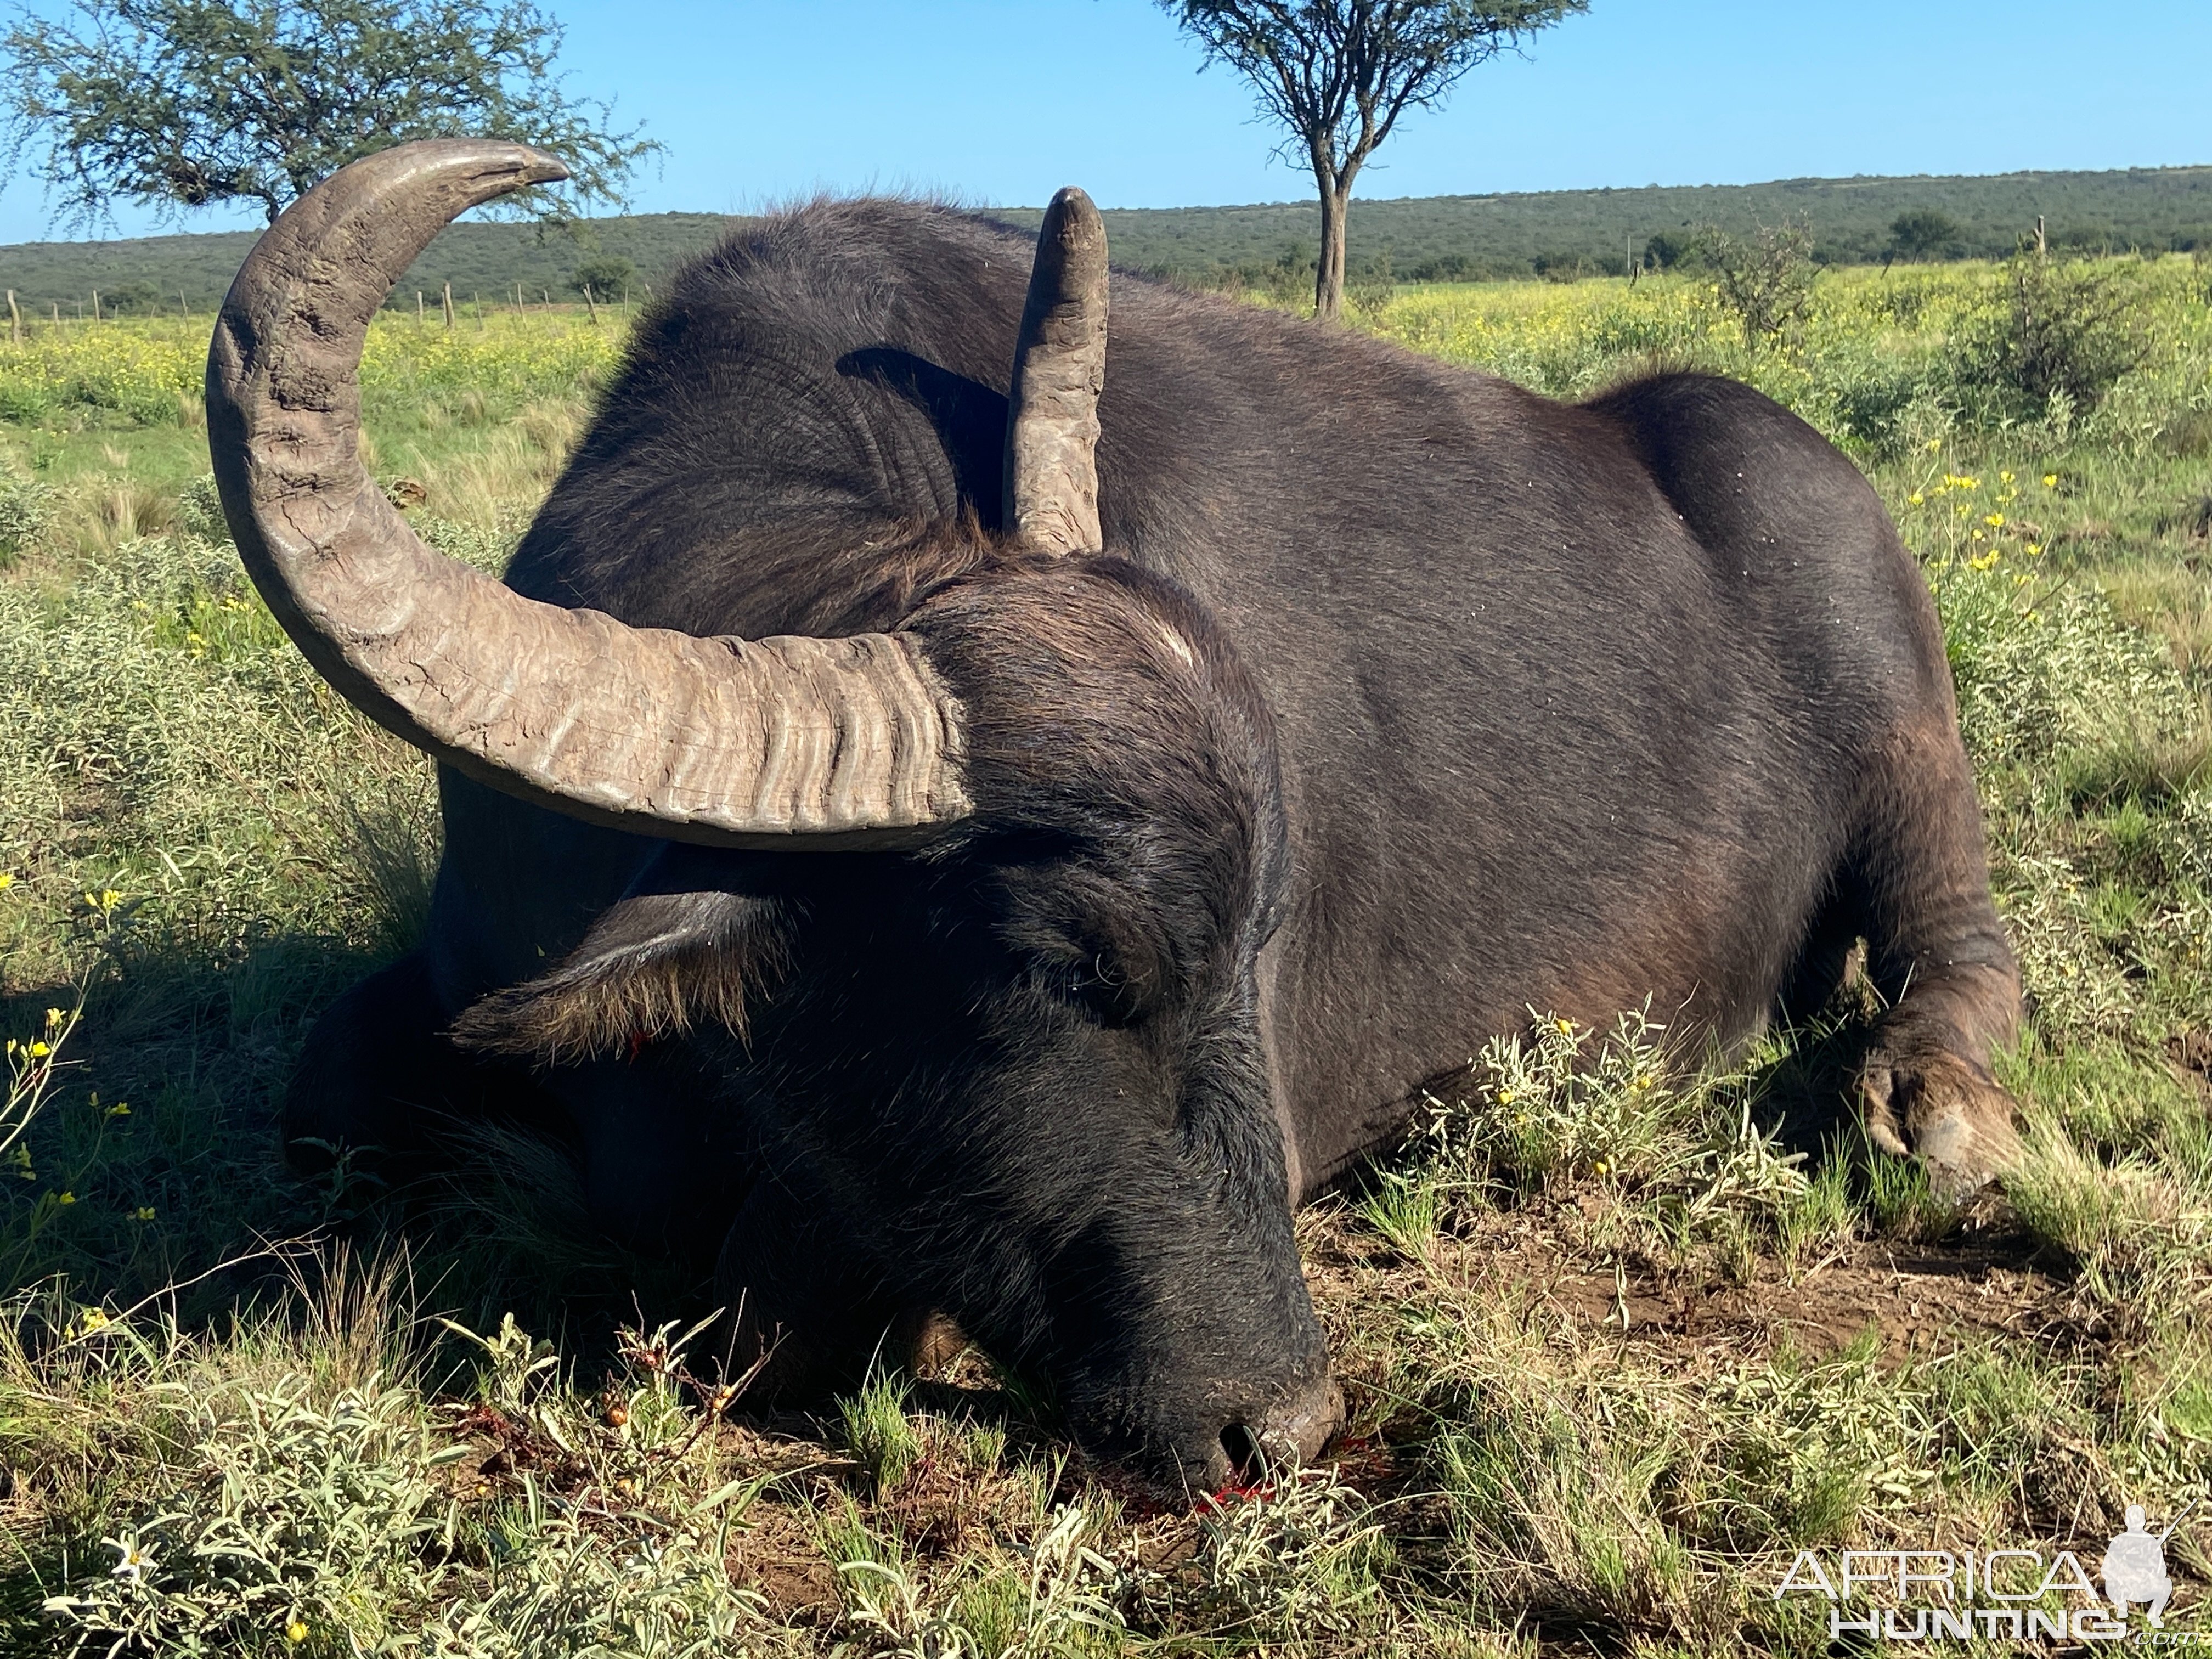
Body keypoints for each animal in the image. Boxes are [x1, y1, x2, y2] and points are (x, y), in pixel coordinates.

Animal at [208, 140, 2026, 1495]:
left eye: (1252, 941)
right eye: (1055, 963)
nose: (1279, 1426)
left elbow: (759, 1309)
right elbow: (318, 1087)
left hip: (1911, 752)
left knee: (1962, 942)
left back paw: (1929, 1108)